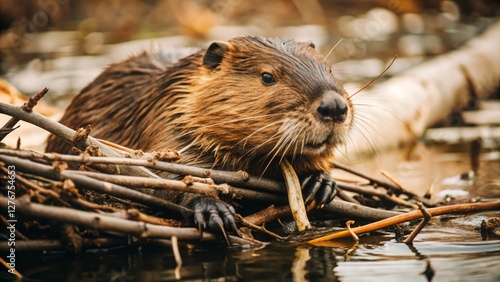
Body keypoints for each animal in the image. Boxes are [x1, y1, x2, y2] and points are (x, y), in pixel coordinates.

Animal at [46, 36, 352, 232]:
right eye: (267, 77)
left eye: (330, 69)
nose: (334, 107)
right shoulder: (166, 125)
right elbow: (160, 177)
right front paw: (213, 209)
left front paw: (320, 182)